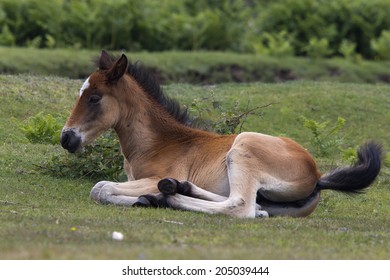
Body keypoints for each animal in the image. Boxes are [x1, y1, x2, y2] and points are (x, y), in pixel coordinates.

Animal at [60, 52, 380, 219]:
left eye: (95, 98)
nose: (67, 138)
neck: (157, 143)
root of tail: (316, 174)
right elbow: (104, 188)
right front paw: (149, 197)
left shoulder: (149, 178)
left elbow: (100, 188)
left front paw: (146, 198)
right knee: (253, 205)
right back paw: (176, 189)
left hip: (243, 145)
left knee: (240, 206)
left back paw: (167, 197)